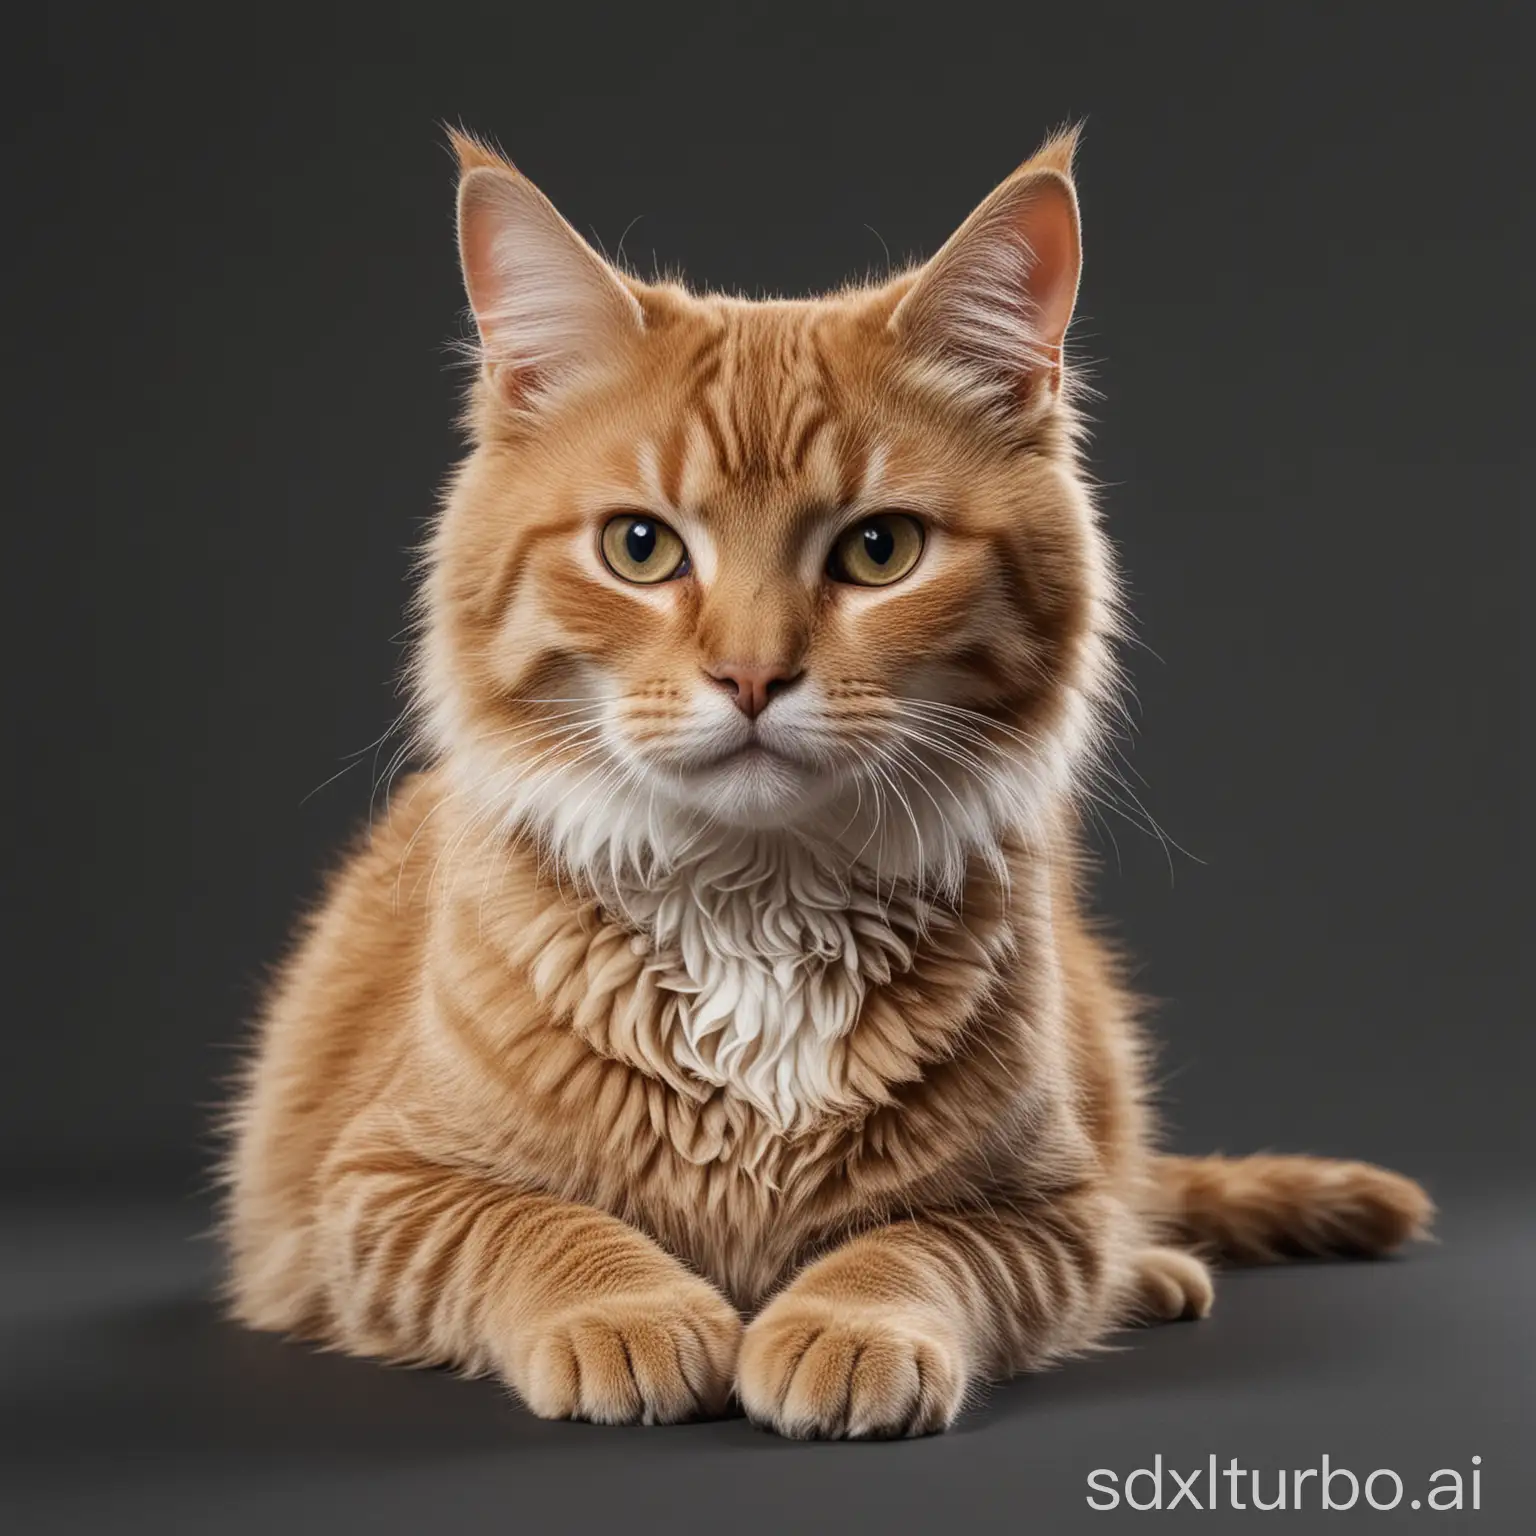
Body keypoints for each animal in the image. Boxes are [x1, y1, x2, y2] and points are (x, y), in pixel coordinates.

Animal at [222, 125, 1431, 1431]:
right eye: (640, 548)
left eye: (879, 550)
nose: (753, 675)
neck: (760, 910)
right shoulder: (373, 1185)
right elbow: (538, 1226)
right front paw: (630, 1314)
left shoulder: (1041, 1208)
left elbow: (915, 1247)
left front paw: (844, 1329)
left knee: (1127, 1204)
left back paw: (1153, 1272)